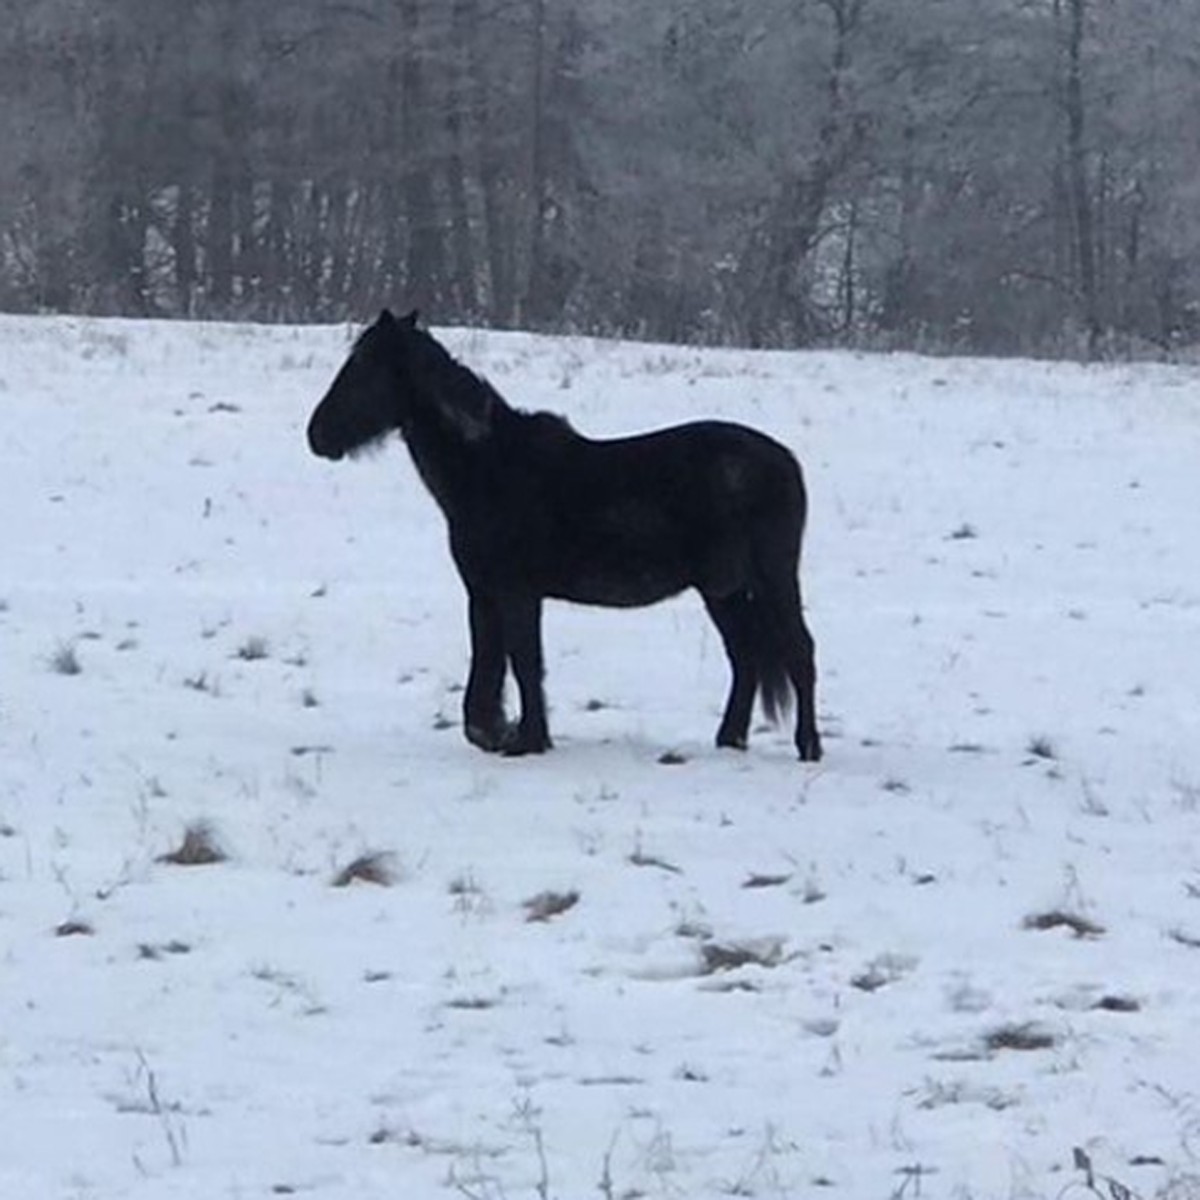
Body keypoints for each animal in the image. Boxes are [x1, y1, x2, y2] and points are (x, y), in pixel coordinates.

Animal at [304, 309, 820, 758]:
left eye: (364, 369)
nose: (317, 435)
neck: (491, 466)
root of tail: (786, 461)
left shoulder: (517, 592)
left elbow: (524, 663)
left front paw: (528, 739)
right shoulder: (483, 594)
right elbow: (488, 668)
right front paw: (497, 732)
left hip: (772, 579)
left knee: (799, 651)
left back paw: (807, 747)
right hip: (722, 589)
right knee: (745, 658)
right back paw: (729, 741)